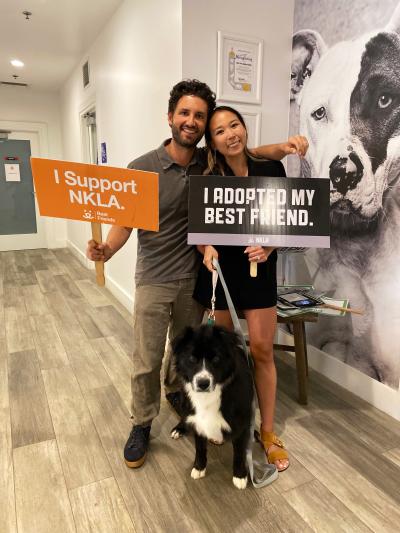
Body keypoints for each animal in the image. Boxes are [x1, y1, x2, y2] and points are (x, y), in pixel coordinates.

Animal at [170, 322, 253, 488]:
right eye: (192, 358)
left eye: (216, 359)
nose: (203, 383)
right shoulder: (198, 422)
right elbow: (200, 448)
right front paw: (199, 467)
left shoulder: (241, 424)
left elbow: (239, 453)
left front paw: (240, 475)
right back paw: (179, 429)